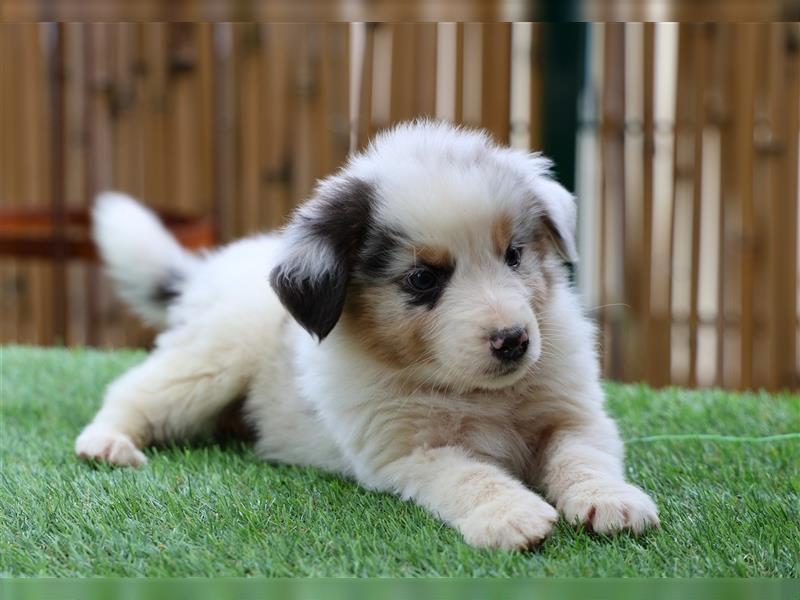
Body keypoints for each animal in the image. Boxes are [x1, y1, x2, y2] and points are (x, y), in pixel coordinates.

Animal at [78, 120, 660, 548]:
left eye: (514, 255)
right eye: (422, 278)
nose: (514, 340)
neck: (475, 393)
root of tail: (208, 271)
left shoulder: (574, 415)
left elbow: (583, 457)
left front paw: (611, 501)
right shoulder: (410, 452)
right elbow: (471, 475)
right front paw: (512, 516)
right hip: (213, 358)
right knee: (135, 390)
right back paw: (106, 443)